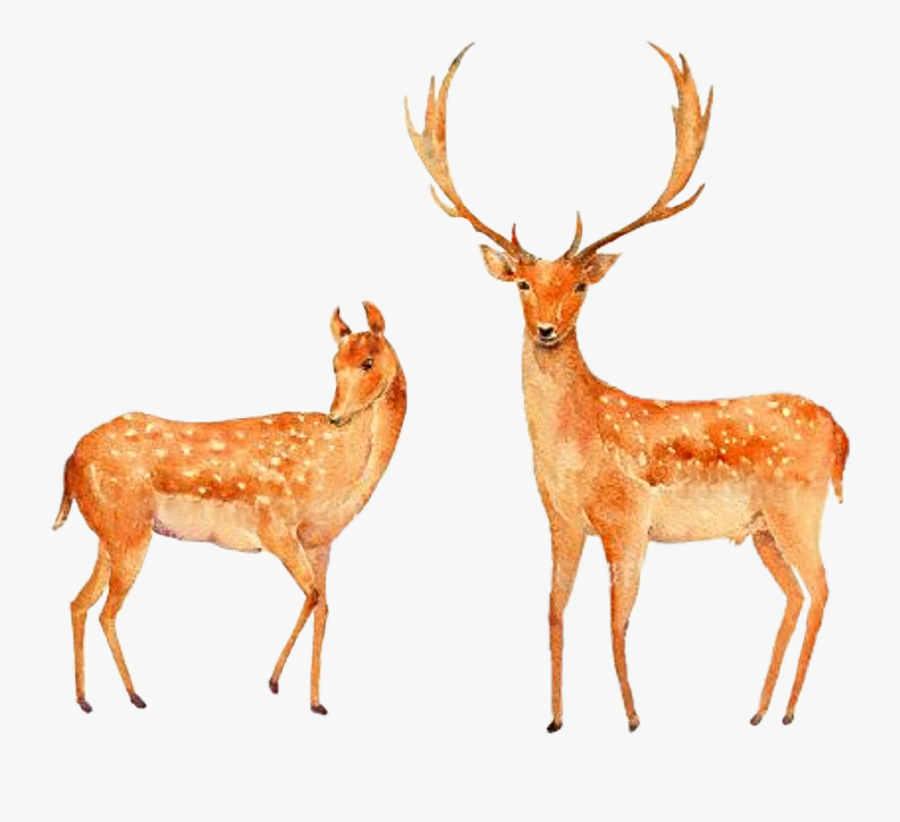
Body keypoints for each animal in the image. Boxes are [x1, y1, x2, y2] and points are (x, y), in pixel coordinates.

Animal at [53, 301, 407, 714]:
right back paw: (135, 696)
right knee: (107, 610)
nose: (335, 416)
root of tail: (69, 462)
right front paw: (274, 682)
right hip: (130, 531)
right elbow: (314, 597)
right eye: (334, 364)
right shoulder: (276, 527)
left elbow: (324, 606)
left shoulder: (321, 542)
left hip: (108, 534)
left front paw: (316, 702)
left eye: (367, 361)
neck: (340, 472)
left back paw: (85, 700)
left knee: (78, 603)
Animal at [406, 44, 848, 733]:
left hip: (797, 506)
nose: (547, 328)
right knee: (797, 594)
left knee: (824, 588)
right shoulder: (560, 520)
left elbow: (617, 619)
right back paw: (758, 710)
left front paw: (634, 718)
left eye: (581, 285)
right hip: (762, 528)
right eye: (523, 284)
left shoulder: (628, 517)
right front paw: (556, 718)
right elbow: (553, 610)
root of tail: (840, 433)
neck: (573, 454)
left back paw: (787, 713)